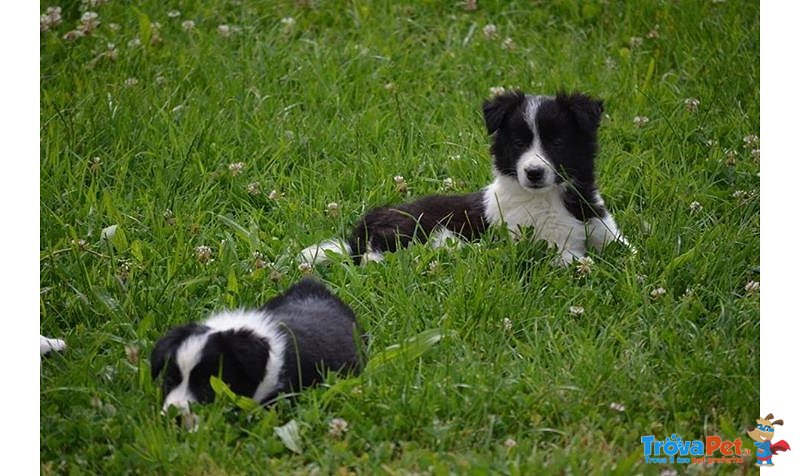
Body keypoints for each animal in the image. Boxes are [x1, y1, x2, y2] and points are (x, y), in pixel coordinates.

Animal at [300, 91, 632, 266]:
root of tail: (363, 226)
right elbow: (581, 262)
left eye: (557, 142)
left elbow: (631, 253)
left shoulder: (606, 231)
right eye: (518, 143)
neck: (552, 198)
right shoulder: (558, 249)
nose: (533, 173)